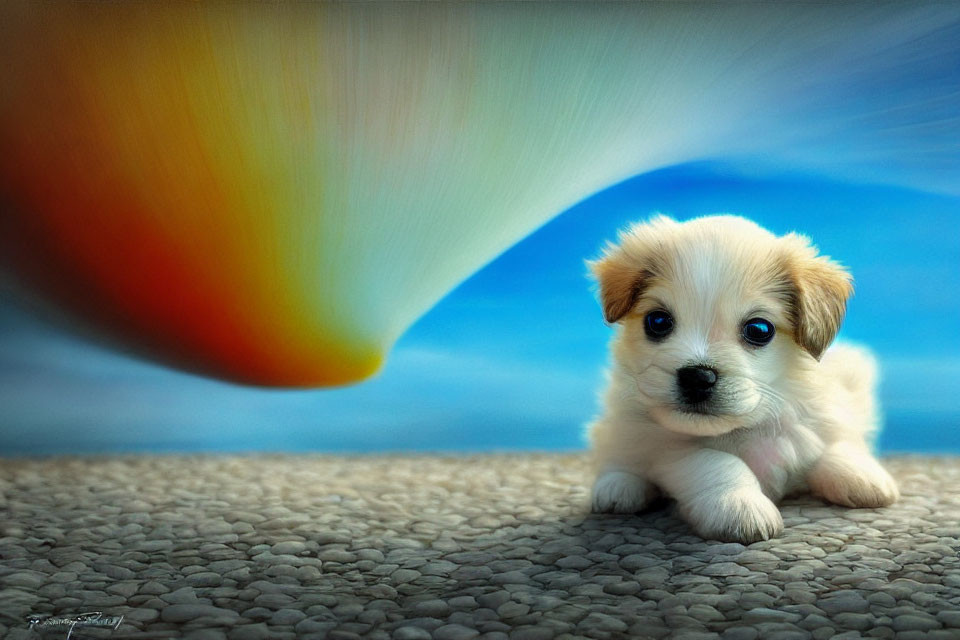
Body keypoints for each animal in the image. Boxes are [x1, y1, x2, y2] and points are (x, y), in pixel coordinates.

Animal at [584, 216, 900, 544]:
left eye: (759, 329)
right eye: (657, 321)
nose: (698, 377)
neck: (744, 429)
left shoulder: (822, 415)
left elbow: (833, 443)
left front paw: (861, 475)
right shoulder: (662, 444)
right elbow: (718, 462)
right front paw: (739, 505)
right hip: (617, 426)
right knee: (615, 456)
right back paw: (618, 487)